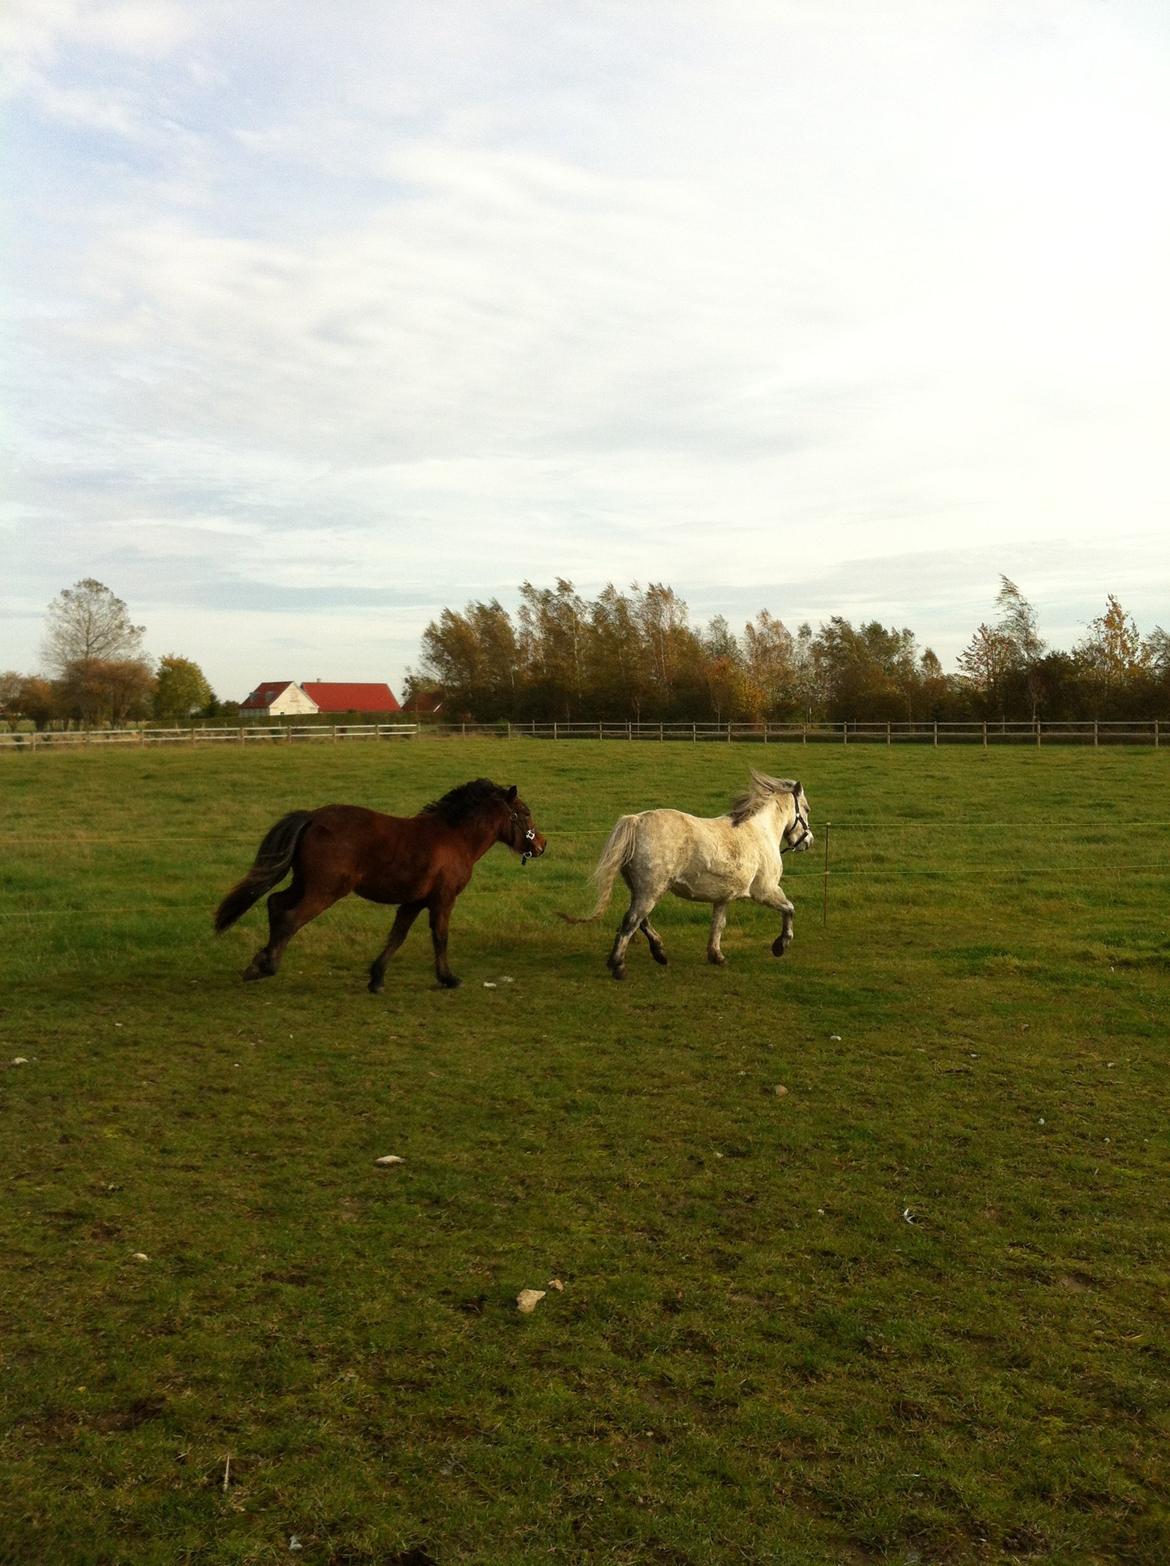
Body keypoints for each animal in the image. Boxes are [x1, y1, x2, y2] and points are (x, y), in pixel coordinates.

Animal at [211, 779, 548, 989]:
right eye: (525, 813)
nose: (542, 845)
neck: (454, 838)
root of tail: (313, 817)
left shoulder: (414, 901)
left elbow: (397, 936)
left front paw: (376, 978)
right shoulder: (443, 898)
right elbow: (440, 936)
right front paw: (448, 978)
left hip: (304, 883)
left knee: (275, 903)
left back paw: (259, 961)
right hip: (325, 890)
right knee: (290, 918)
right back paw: (266, 966)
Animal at [566, 770, 814, 977]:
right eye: (807, 809)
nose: (808, 841)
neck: (759, 831)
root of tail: (636, 821)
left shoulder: (723, 898)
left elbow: (718, 925)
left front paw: (717, 956)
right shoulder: (765, 890)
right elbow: (789, 909)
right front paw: (780, 945)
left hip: (641, 889)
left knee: (642, 921)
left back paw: (660, 953)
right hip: (650, 891)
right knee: (631, 921)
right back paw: (618, 966)